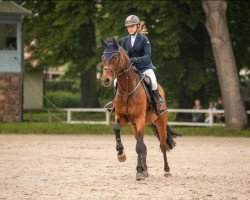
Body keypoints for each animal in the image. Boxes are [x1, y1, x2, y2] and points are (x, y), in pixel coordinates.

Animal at [100, 36, 181, 180]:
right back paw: (145, 170)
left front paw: (138, 172)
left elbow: (138, 147)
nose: (105, 80)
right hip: (134, 126)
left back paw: (166, 171)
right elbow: (117, 128)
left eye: (115, 57)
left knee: (162, 145)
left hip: (160, 122)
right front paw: (121, 155)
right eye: (103, 57)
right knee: (144, 146)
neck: (127, 89)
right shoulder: (122, 117)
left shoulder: (139, 119)